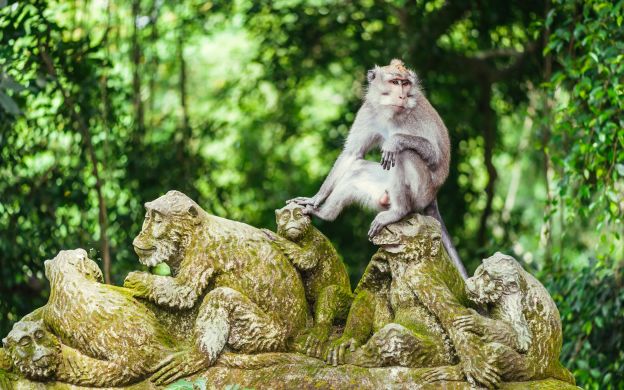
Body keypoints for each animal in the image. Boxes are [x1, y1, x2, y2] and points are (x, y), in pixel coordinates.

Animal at [290, 58, 466, 278]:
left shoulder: (415, 115)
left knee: (404, 154)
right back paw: (324, 214)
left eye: (405, 83)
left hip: (421, 193)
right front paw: (315, 199)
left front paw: (395, 141)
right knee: (356, 170)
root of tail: (433, 197)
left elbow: (435, 156)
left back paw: (398, 211)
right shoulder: (368, 111)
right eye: (395, 82)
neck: (391, 112)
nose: (402, 95)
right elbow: (352, 155)